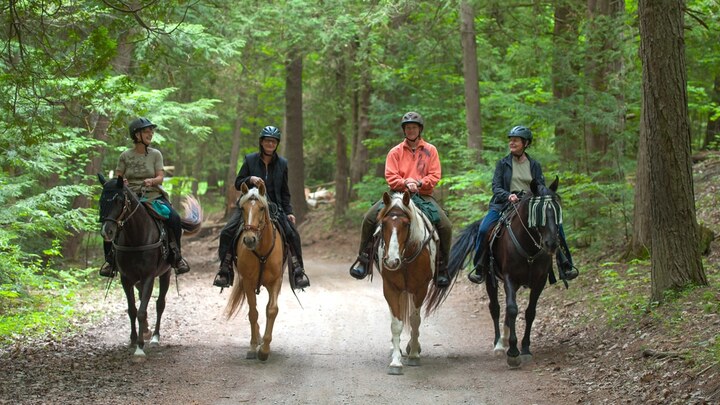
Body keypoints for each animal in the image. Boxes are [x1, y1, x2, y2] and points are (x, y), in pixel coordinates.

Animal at [98, 174, 202, 360]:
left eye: (119, 200)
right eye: (101, 200)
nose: (107, 231)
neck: (135, 237)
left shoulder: (148, 276)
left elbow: (142, 311)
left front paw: (140, 348)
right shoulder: (126, 278)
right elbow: (132, 310)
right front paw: (133, 340)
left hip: (165, 273)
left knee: (160, 304)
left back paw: (154, 336)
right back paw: (146, 331)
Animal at [225, 182, 286, 361]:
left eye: (261, 208)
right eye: (243, 208)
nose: (249, 239)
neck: (261, 250)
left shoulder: (276, 281)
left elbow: (271, 310)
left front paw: (265, 350)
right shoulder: (247, 281)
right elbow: (253, 313)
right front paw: (253, 347)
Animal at [375, 191, 455, 375]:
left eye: (406, 224)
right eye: (384, 223)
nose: (391, 261)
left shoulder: (420, 289)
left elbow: (414, 320)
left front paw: (413, 355)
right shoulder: (390, 288)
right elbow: (396, 323)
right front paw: (396, 362)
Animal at [447, 177, 562, 368]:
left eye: (557, 208)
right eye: (537, 212)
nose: (551, 244)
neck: (529, 247)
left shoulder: (539, 281)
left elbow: (530, 312)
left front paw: (525, 349)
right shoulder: (510, 278)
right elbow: (512, 309)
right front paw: (513, 353)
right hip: (489, 279)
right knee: (495, 308)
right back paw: (499, 345)